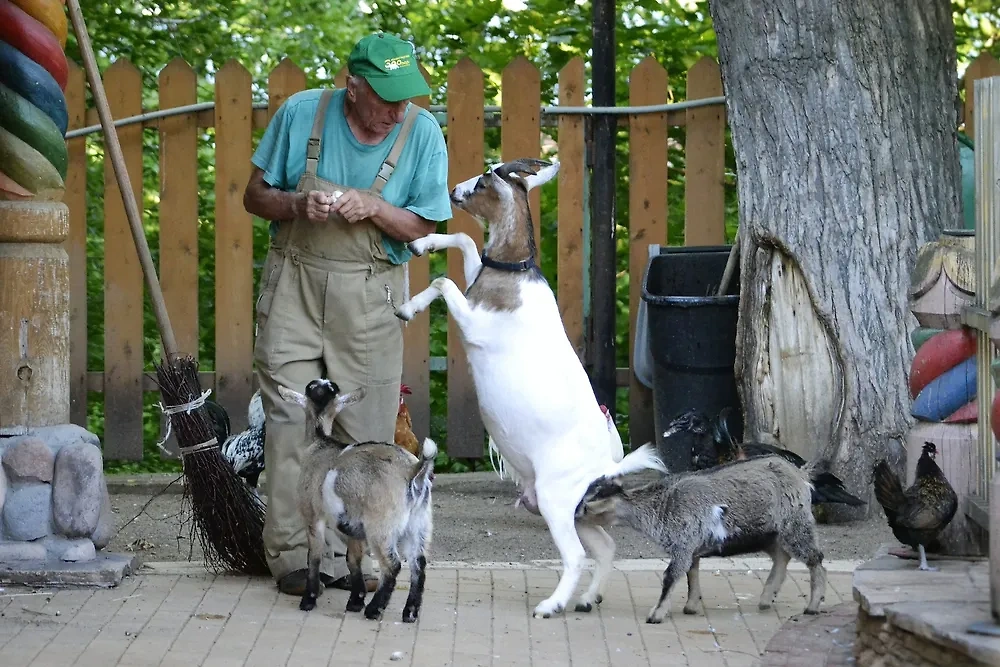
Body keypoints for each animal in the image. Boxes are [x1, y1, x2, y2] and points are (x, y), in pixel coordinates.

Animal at [394, 158, 668, 620]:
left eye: (485, 180)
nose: (453, 191)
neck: (514, 275)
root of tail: (604, 467)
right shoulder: (476, 282)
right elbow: (466, 242)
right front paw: (422, 243)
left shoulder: (475, 326)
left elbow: (444, 283)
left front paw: (407, 307)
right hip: (578, 512)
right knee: (605, 548)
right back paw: (588, 598)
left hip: (557, 502)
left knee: (576, 556)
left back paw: (551, 605)